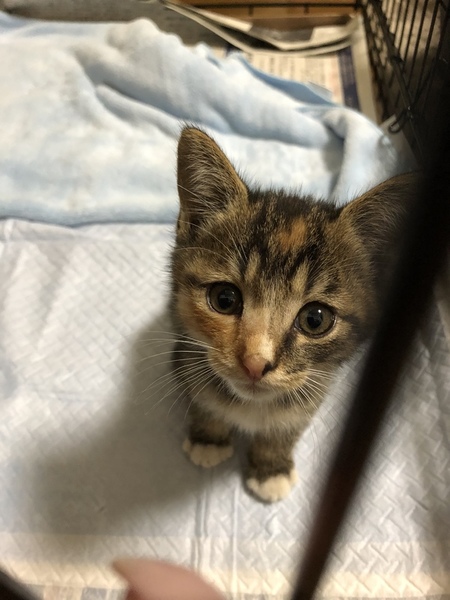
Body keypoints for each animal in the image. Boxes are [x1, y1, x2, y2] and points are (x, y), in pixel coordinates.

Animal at [170, 126, 414, 502]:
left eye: (315, 319)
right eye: (224, 299)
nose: (255, 363)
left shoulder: (317, 385)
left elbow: (289, 424)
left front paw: (271, 467)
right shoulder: (187, 352)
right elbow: (202, 397)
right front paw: (208, 436)